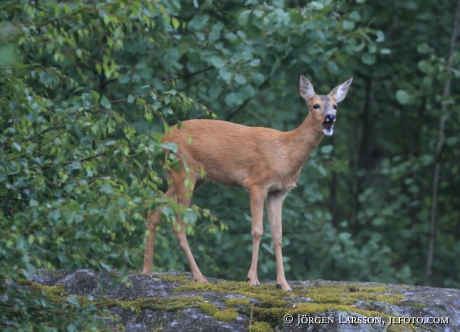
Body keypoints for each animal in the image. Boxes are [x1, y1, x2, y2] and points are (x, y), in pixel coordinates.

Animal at [142, 73, 354, 290]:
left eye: (335, 106)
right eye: (315, 105)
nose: (330, 118)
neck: (286, 153)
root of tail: (161, 140)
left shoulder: (278, 193)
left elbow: (278, 235)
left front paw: (283, 284)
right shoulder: (256, 184)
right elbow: (257, 231)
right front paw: (252, 279)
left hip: (192, 177)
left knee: (155, 210)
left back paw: (147, 271)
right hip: (184, 170)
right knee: (179, 223)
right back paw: (199, 276)